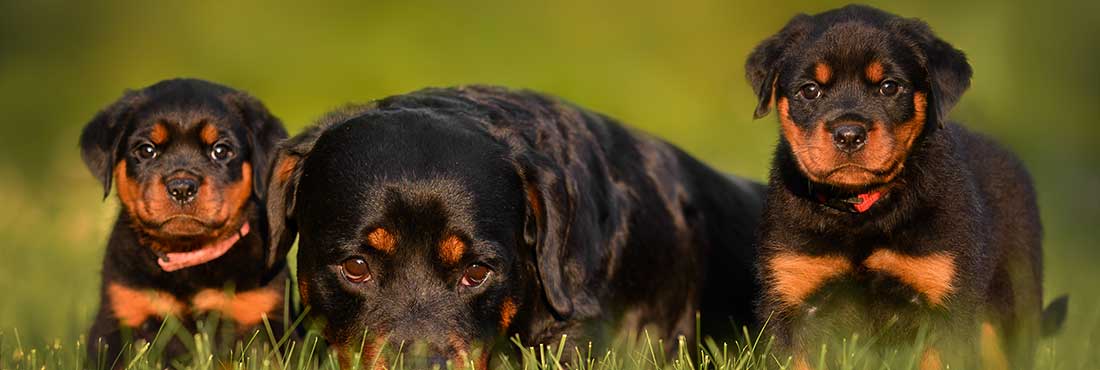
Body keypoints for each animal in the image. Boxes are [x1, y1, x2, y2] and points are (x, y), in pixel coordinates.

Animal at [81, 78, 290, 363]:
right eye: (146, 150)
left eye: (221, 150)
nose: (181, 187)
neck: (188, 254)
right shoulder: (121, 312)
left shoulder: (263, 312)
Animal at [748, 5, 1064, 370]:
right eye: (810, 90)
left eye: (889, 87)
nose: (849, 134)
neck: (862, 210)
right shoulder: (790, 301)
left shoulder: (947, 305)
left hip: (1010, 312)